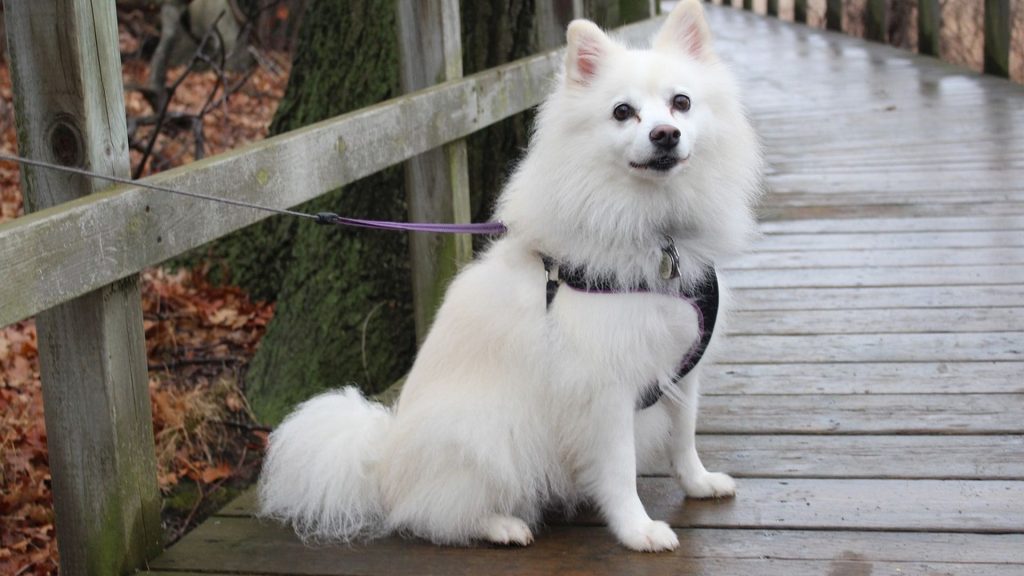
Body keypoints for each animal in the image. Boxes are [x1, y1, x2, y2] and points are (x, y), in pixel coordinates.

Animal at [260, 0, 765, 553]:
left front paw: (698, 484)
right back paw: (502, 526)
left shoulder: (681, 366)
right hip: (487, 434)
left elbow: (684, 437)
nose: (665, 135)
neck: (654, 231)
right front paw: (638, 531)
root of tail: (382, 461)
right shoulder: (605, 389)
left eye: (681, 103)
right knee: (433, 515)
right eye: (622, 112)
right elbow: (619, 469)